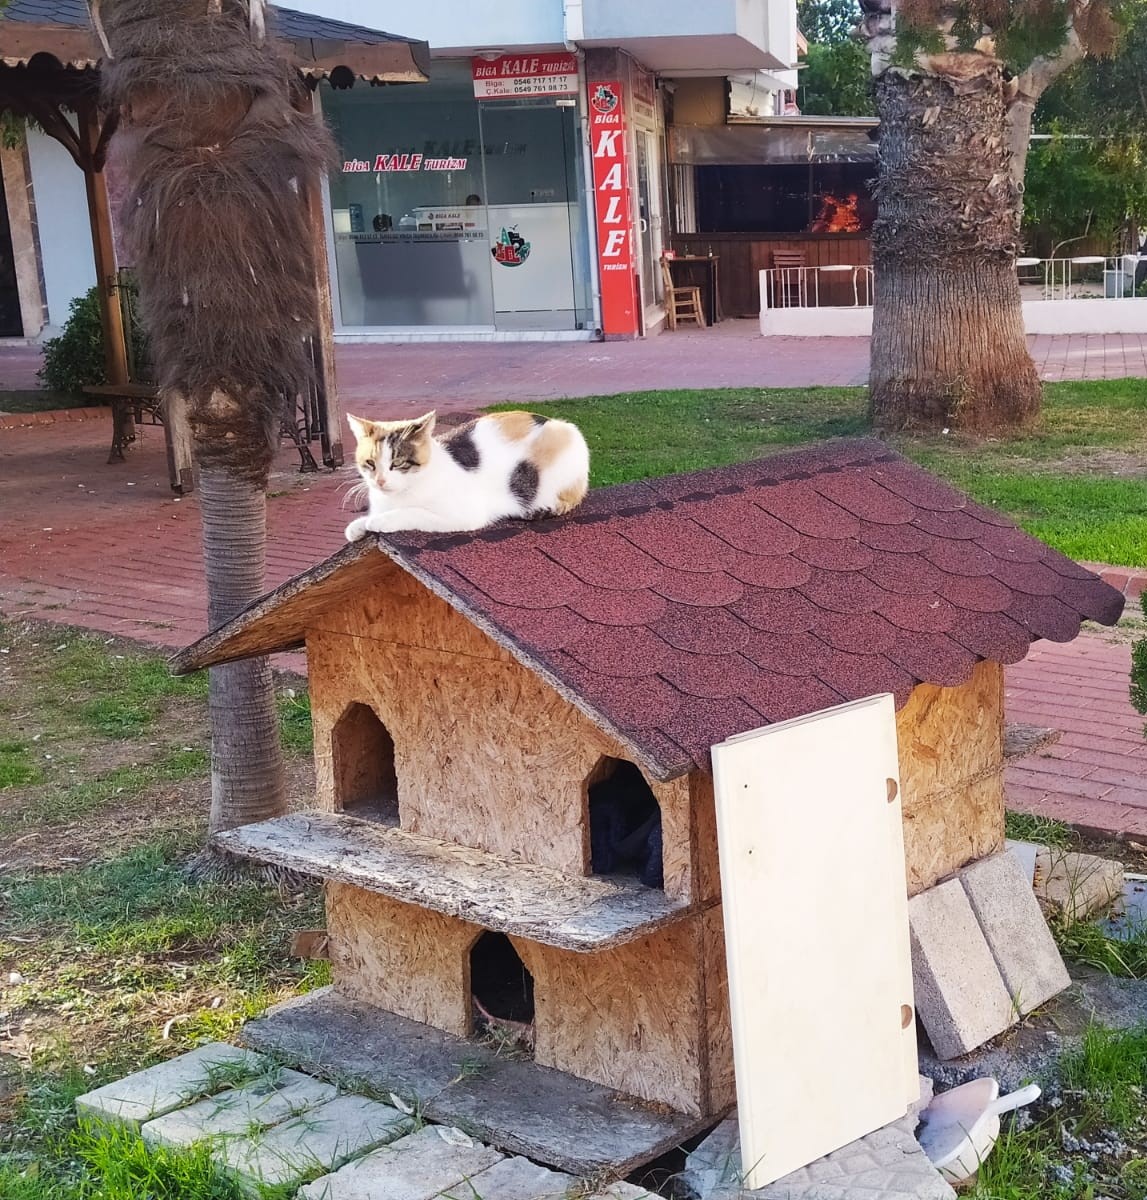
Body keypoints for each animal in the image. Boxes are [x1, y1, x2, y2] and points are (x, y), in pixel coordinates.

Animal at [345, 408, 587, 540]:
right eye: (370, 463)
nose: (380, 481)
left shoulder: (463, 515)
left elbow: (413, 512)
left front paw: (380, 521)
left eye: (398, 463)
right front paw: (358, 526)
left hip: (567, 436)